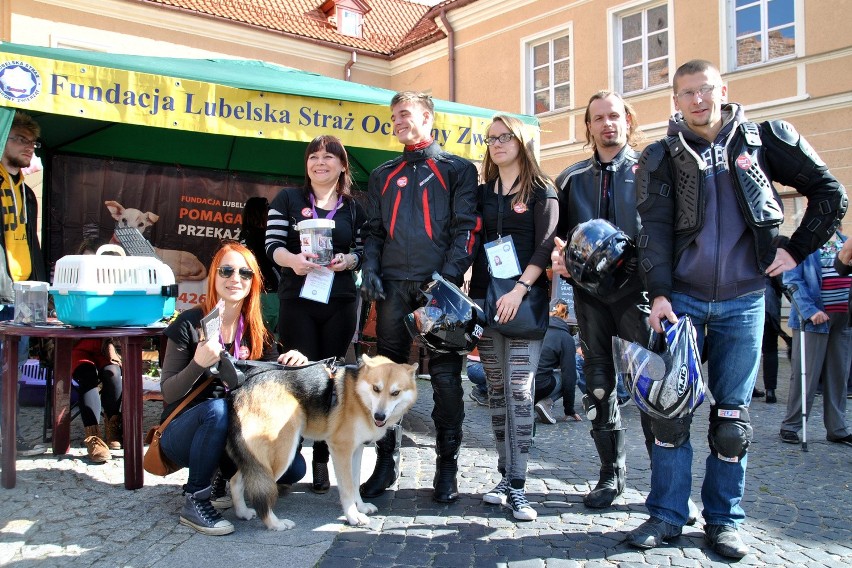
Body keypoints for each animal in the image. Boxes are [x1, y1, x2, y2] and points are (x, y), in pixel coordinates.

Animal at [223, 356, 416, 528]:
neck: (358, 395)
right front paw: (353, 516)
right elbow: (347, 488)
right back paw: (275, 524)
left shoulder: (356, 450)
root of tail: (241, 388)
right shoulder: (341, 450)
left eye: (395, 393)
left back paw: (242, 512)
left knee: (236, 480)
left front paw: (360, 507)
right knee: (261, 490)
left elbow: (355, 483)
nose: (379, 416)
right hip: (283, 453)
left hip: (255, 459)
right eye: (376, 388)